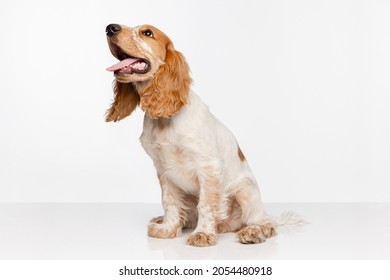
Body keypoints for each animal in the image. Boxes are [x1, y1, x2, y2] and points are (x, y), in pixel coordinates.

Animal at [104, 24, 302, 247]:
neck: (165, 120)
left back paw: (253, 232)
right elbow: (170, 202)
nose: (110, 28)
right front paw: (168, 228)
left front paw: (203, 234)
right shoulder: (164, 170)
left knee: (267, 223)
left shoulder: (208, 167)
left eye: (147, 33)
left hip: (245, 191)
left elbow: (206, 204)